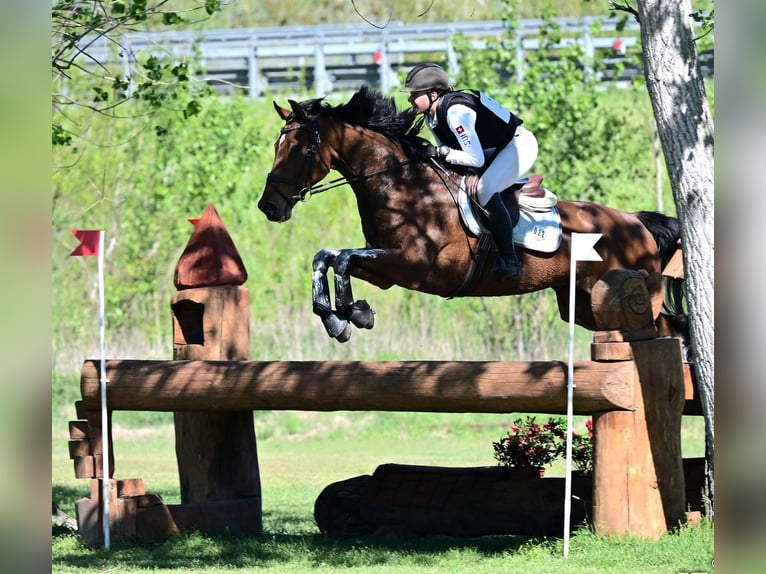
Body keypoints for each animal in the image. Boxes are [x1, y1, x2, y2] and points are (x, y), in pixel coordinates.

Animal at [258, 86, 688, 346]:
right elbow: (327, 257)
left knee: (667, 330)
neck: (402, 186)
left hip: (630, 298)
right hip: (584, 305)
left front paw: (352, 313)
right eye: (278, 147)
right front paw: (338, 317)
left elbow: (344, 259)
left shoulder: (413, 265)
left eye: (300, 149)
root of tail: (635, 222)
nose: (269, 206)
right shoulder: (385, 267)